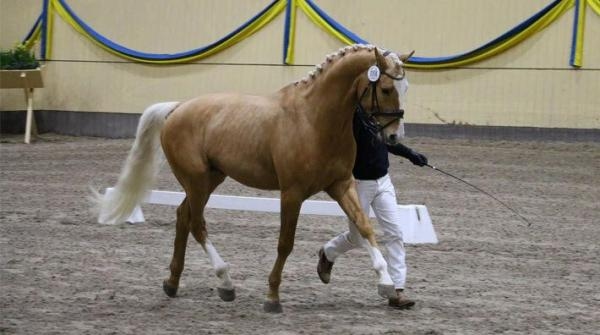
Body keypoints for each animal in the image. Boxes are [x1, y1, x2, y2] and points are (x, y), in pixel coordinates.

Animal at [98, 44, 414, 316]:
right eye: (386, 88)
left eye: (405, 88)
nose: (394, 137)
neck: (314, 120)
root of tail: (177, 108)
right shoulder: (292, 193)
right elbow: (285, 243)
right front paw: (272, 298)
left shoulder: (341, 185)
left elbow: (364, 227)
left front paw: (387, 284)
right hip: (197, 180)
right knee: (197, 224)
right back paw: (225, 283)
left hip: (210, 179)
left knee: (182, 216)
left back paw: (173, 283)